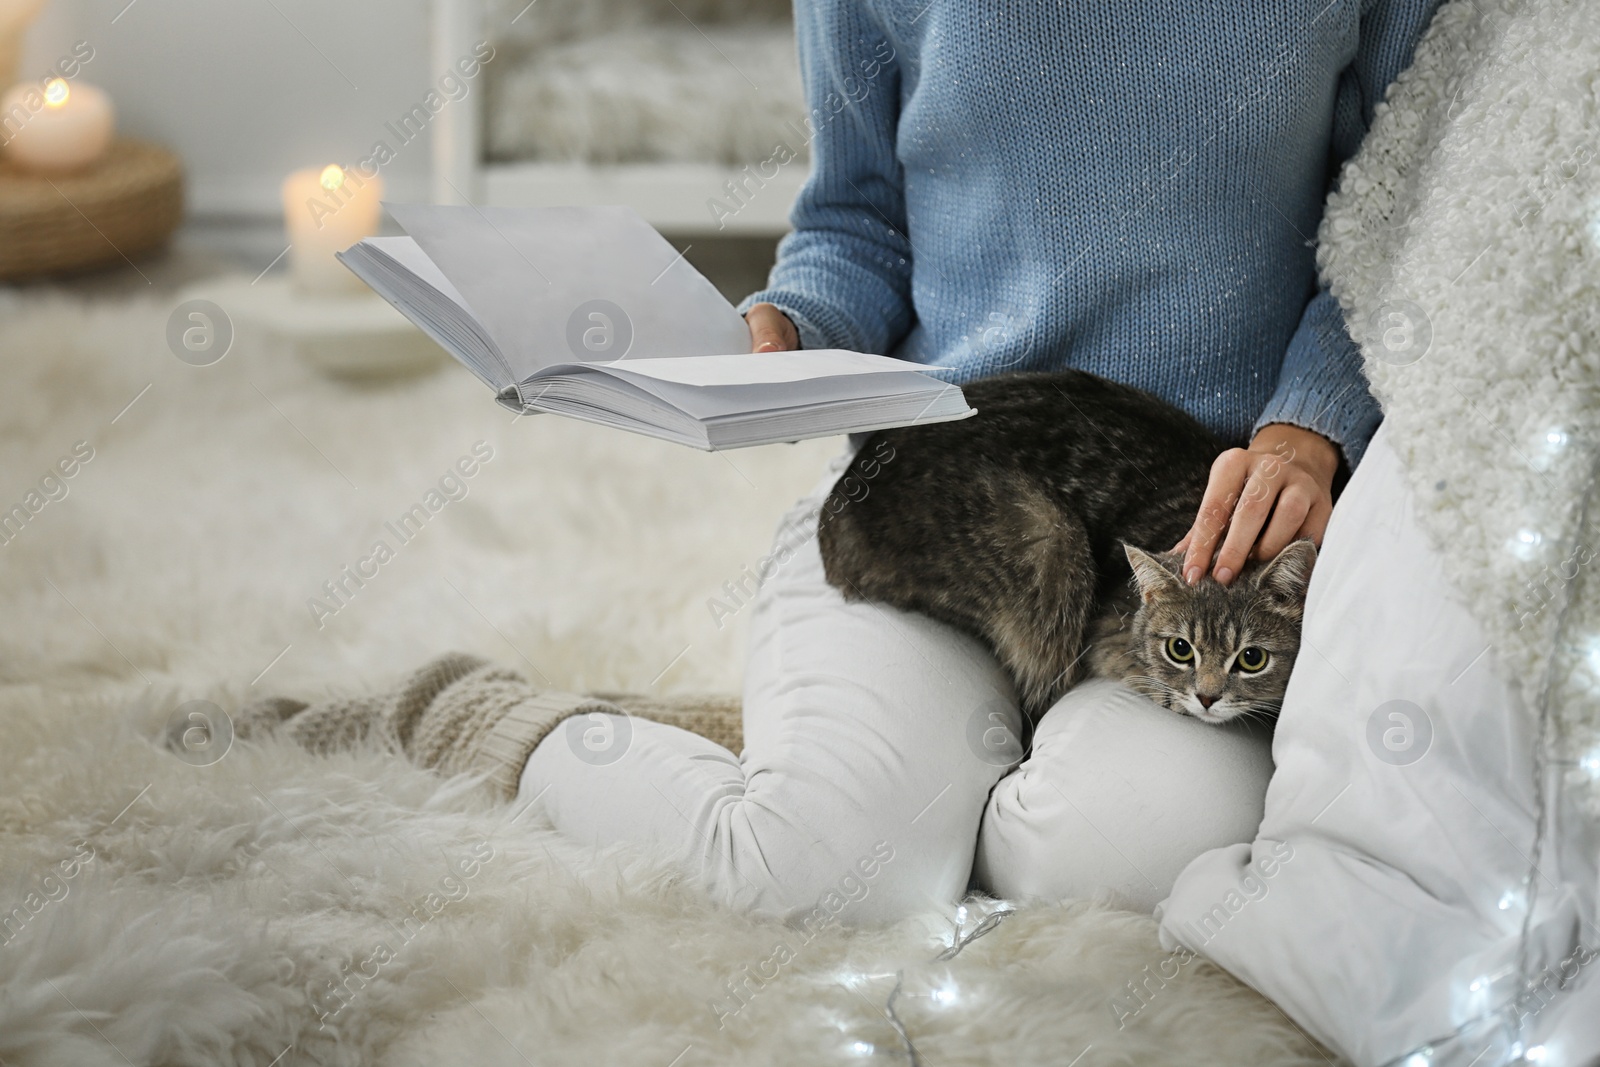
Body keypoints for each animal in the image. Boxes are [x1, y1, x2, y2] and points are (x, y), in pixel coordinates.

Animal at [819, 367, 1318, 726]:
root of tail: (840, 502)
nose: (1209, 697)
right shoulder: (1104, 639)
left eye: (1251, 659)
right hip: (1049, 539)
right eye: (1181, 650)